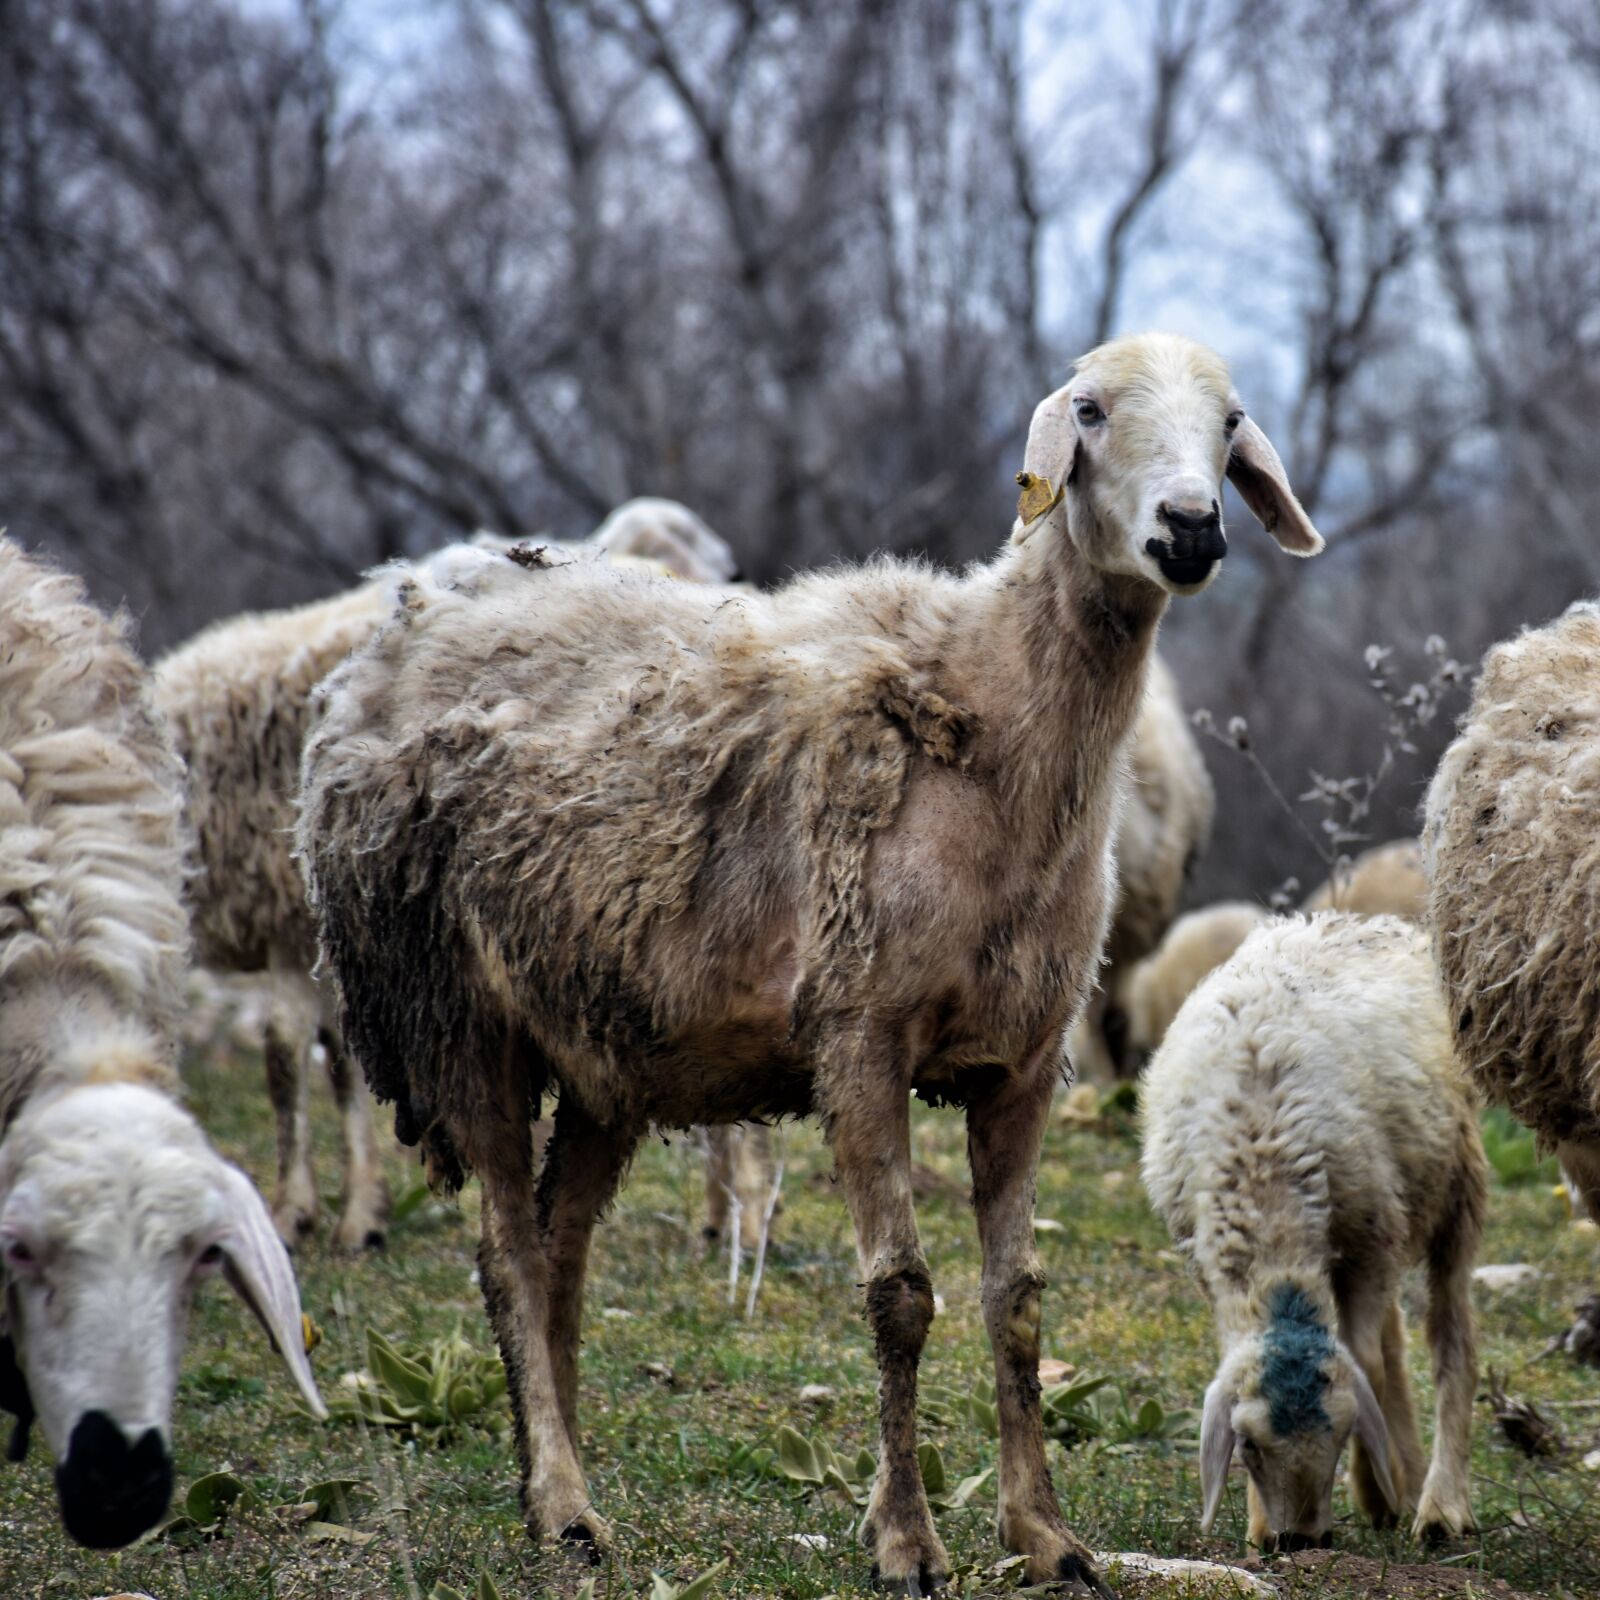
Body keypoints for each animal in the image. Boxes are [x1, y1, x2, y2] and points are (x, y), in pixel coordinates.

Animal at [153, 499, 739, 1250]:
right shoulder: (313, 932)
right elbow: (304, 1061)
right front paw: (322, 1207)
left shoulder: (315, 928)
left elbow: (313, 1065)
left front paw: (339, 1213)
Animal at [1142, 914, 1484, 1553]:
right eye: (1247, 1444)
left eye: (1344, 1433)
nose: (1299, 1540)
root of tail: (1361, 919)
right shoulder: (1205, 1260)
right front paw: (1260, 1524)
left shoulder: (1370, 1244)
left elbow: (1367, 1364)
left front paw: (1376, 1493)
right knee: (1396, 1338)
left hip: (1455, 1187)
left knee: (1452, 1342)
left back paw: (1440, 1505)